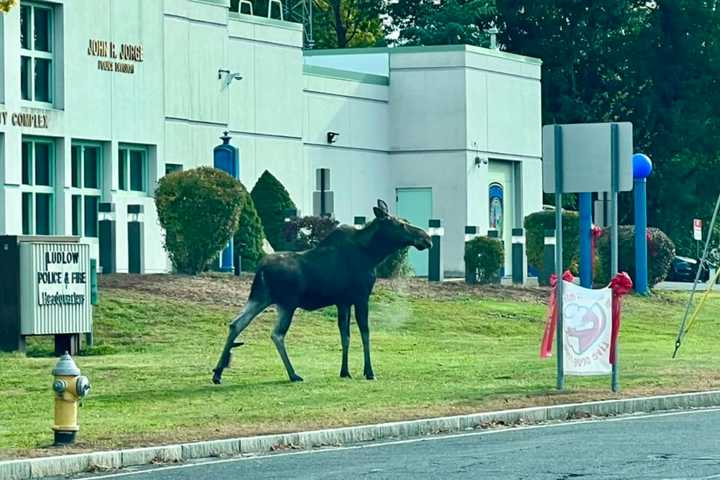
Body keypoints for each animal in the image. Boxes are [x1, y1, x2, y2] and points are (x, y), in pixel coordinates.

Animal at [211, 198, 430, 382]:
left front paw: (345, 371)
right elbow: (365, 333)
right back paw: (293, 374)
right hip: (287, 303)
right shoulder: (361, 297)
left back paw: (218, 372)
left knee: (236, 324)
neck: (372, 254)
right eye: (401, 224)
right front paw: (369, 372)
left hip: (260, 298)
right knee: (277, 334)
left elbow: (345, 336)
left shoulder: (343, 301)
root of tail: (261, 270)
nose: (426, 238)